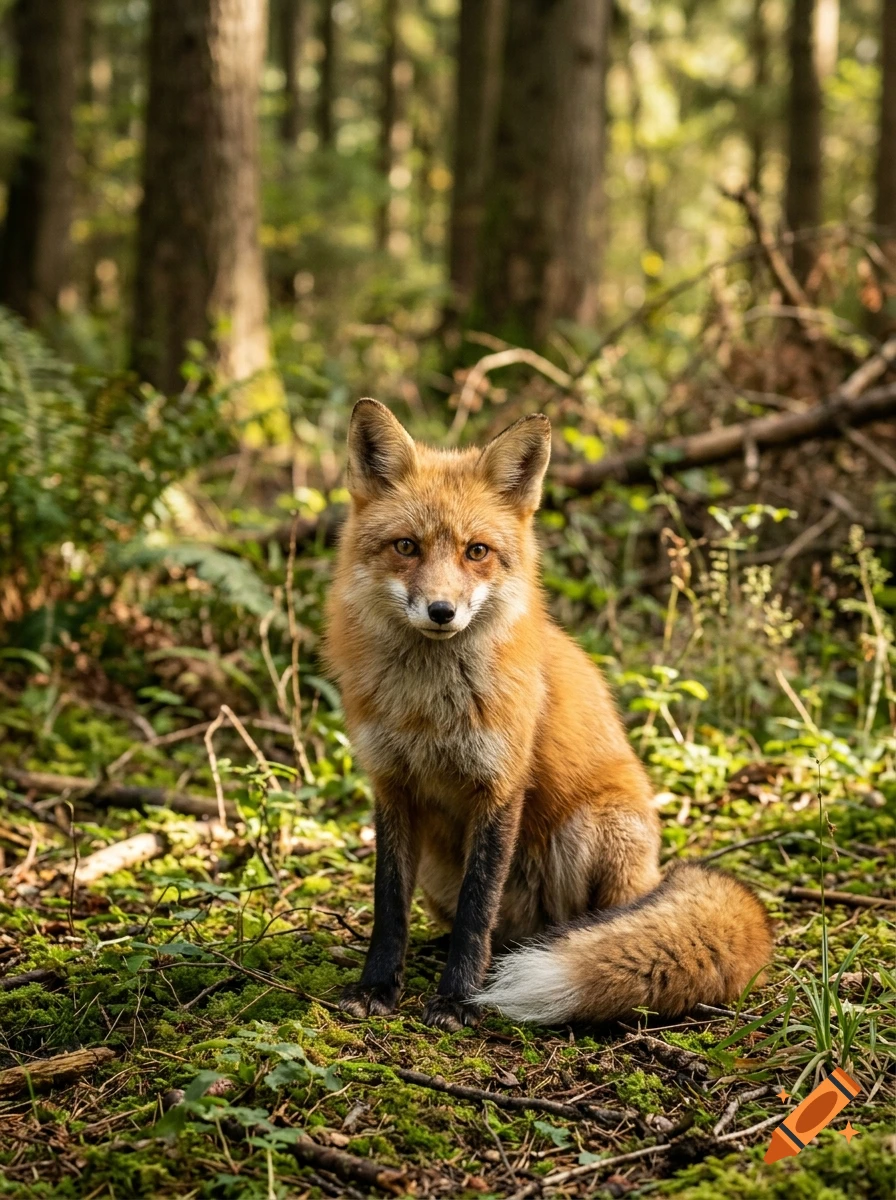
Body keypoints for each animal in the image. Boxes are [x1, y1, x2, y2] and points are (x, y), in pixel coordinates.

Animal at [323, 398, 773, 1031]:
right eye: (406, 546)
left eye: (477, 551)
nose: (441, 611)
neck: (427, 711)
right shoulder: (391, 784)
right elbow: (389, 908)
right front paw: (378, 987)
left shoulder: (500, 783)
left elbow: (477, 908)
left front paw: (457, 999)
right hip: (440, 869)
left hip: (597, 830)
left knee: (590, 921)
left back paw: (572, 952)